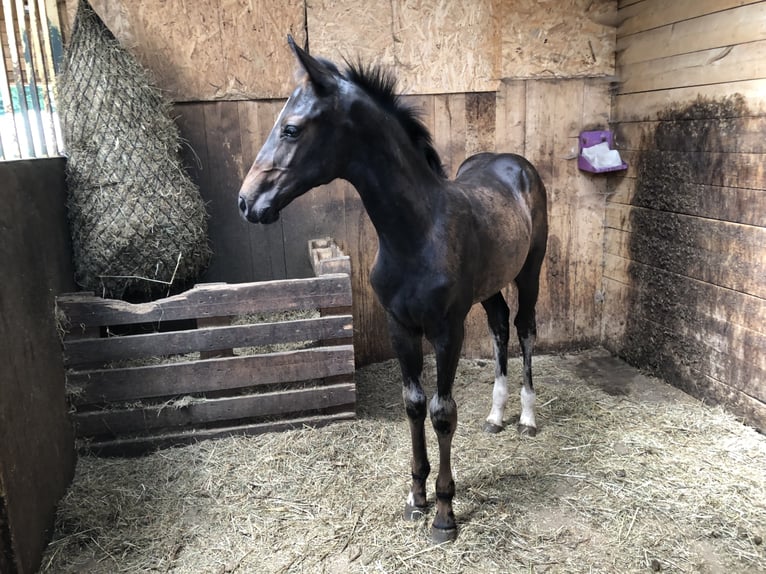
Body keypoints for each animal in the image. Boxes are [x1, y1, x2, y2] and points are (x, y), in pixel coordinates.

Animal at [237, 36, 548, 544]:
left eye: (291, 129)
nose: (246, 202)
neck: (417, 233)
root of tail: (514, 163)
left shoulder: (447, 330)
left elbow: (442, 411)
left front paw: (444, 513)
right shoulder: (400, 326)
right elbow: (414, 404)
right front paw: (416, 497)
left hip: (529, 271)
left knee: (523, 329)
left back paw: (525, 418)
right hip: (490, 284)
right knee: (501, 325)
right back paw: (495, 416)